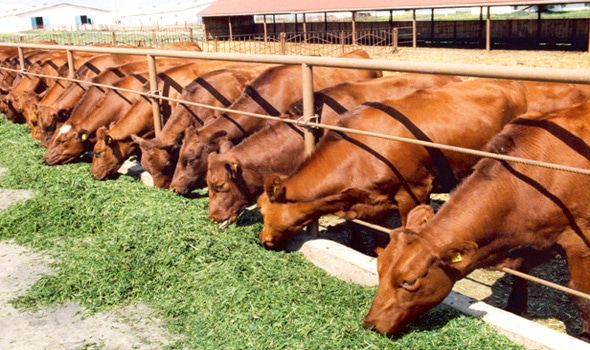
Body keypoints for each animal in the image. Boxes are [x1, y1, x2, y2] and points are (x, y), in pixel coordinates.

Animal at [364, 102, 590, 342]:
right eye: (380, 269)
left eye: (409, 281)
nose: (370, 324)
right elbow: (522, 272)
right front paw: (515, 306)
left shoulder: (579, 243)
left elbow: (580, 294)